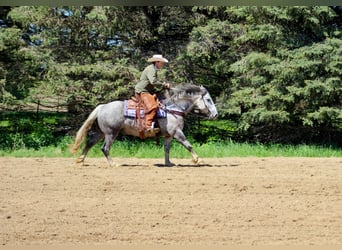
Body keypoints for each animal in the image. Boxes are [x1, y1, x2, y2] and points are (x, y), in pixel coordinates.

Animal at [71, 83, 218, 167]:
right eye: (208, 100)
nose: (216, 115)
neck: (173, 109)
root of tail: (102, 107)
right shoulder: (177, 133)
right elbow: (188, 145)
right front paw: (198, 160)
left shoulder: (168, 136)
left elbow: (166, 149)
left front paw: (168, 163)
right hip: (111, 133)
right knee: (105, 148)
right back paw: (113, 164)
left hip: (101, 132)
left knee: (89, 143)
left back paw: (81, 160)